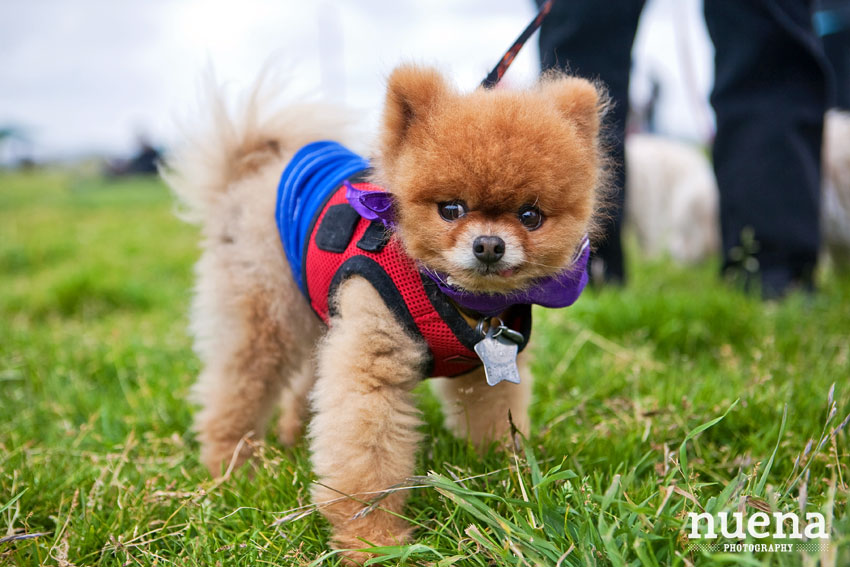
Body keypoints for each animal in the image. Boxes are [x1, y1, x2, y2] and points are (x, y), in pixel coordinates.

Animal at [164, 64, 604, 560]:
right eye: (451, 209)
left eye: (530, 216)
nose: (489, 245)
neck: (457, 298)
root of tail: (245, 177)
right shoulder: (371, 364)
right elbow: (366, 461)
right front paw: (374, 542)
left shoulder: (485, 369)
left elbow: (493, 418)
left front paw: (506, 477)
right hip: (265, 315)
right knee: (236, 389)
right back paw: (233, 467)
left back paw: (290, 436)